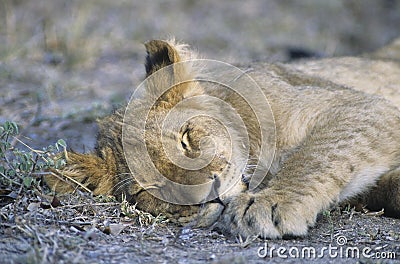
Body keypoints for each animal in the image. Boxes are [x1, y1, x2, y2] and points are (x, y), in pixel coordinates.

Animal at [47, 37, 400, 239]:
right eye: (151, 189)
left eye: (185, 139)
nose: (211, 195)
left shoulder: (363, 106)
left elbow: (316, 157)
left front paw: (270, 203)